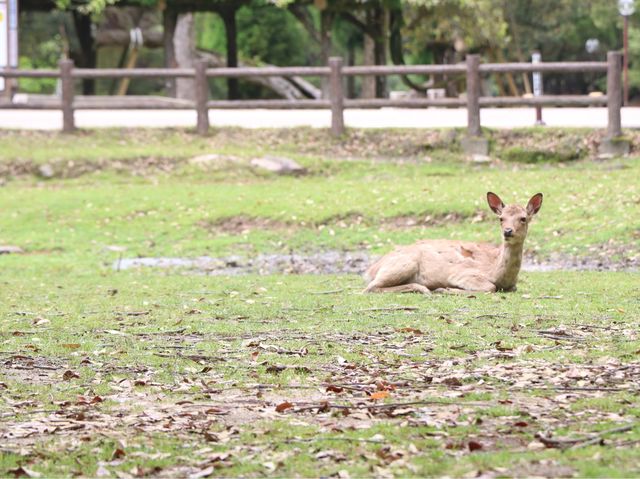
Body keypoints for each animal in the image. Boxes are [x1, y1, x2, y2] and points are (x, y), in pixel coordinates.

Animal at [362, 193, 544, 294]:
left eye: (523, 218)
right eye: (501, 218)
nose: (507, 231)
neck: (499, 274)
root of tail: (371, 270)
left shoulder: (512, 285)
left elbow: (513, 287)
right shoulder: (461, 273)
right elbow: (489, 287)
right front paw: (446, 289)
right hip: (404, 263)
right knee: (369, 287)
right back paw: (425, 289)